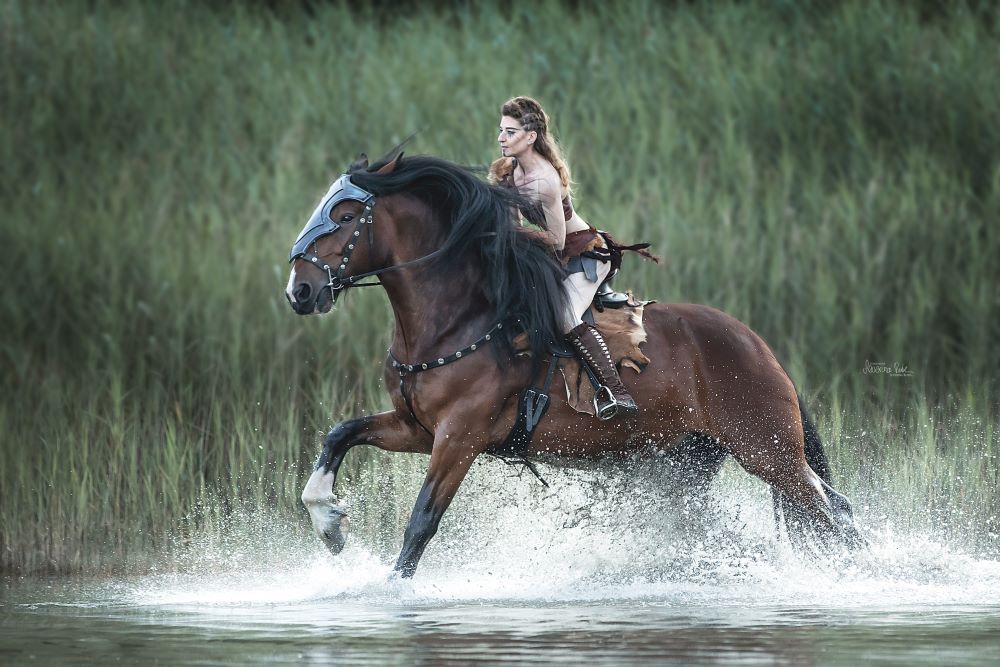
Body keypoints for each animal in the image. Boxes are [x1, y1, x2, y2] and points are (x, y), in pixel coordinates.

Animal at [282, 149, 860, 576]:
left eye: (345, 216)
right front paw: (329, 525)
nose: (299, 291)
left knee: (832, 510)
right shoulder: (417, 428)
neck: (456, 319)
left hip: (768, 451)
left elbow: (421, 523)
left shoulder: (459, 437)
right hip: (690, 461)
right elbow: (340, 434)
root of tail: (761, 348)